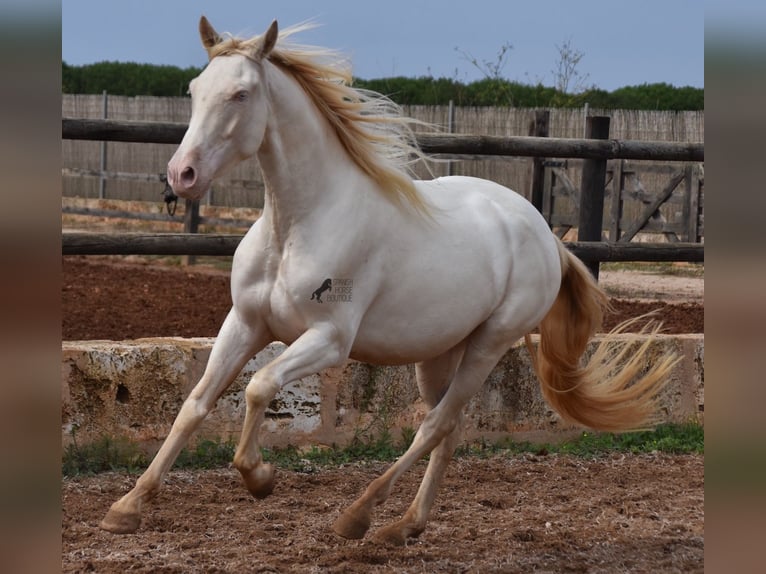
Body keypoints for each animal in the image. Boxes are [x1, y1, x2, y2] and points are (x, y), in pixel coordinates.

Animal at [100, 18, 680, 548]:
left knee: (435, 424)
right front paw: (127, 506)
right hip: (440, 353)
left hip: (490, 344)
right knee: (451, 427)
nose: (181, 175)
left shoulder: (329, 340)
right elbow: (195, 404)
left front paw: (259, 478)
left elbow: (259, 387)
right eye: (195, 89)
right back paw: (406, 525)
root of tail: (543, 233)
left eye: (241, 94)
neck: (297, 225)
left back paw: (360, 516)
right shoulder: (244, 324)